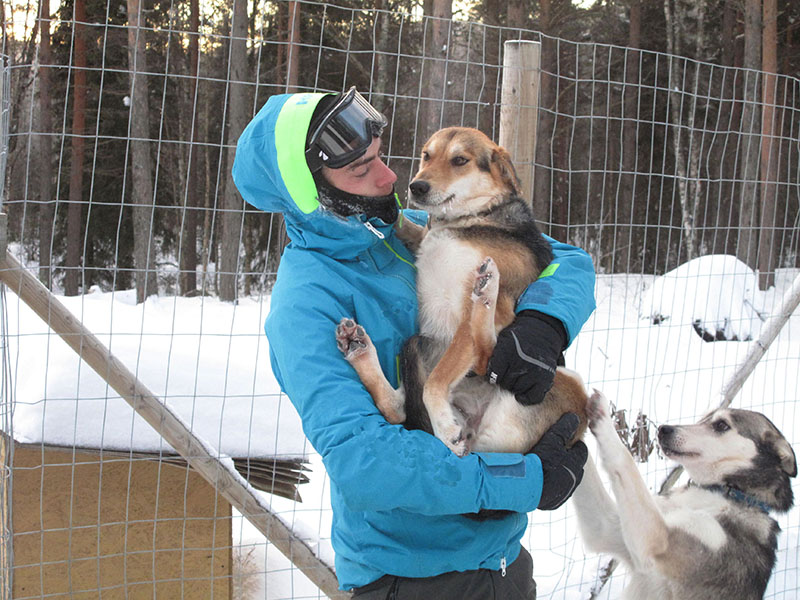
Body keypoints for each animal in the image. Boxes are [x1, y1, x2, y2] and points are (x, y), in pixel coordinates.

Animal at [334, 126, 584, 454]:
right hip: (420, 345)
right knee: (398, 407)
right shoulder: (426, 236)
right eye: (427, 155)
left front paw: (442, 425)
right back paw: (358, 347)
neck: (468, 218)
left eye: (460, 160)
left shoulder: (490, 315)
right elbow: (413, 228)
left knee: (487, 353)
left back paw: (486, 291)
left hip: (552, 377)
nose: (416, 187)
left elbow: (435, 384)